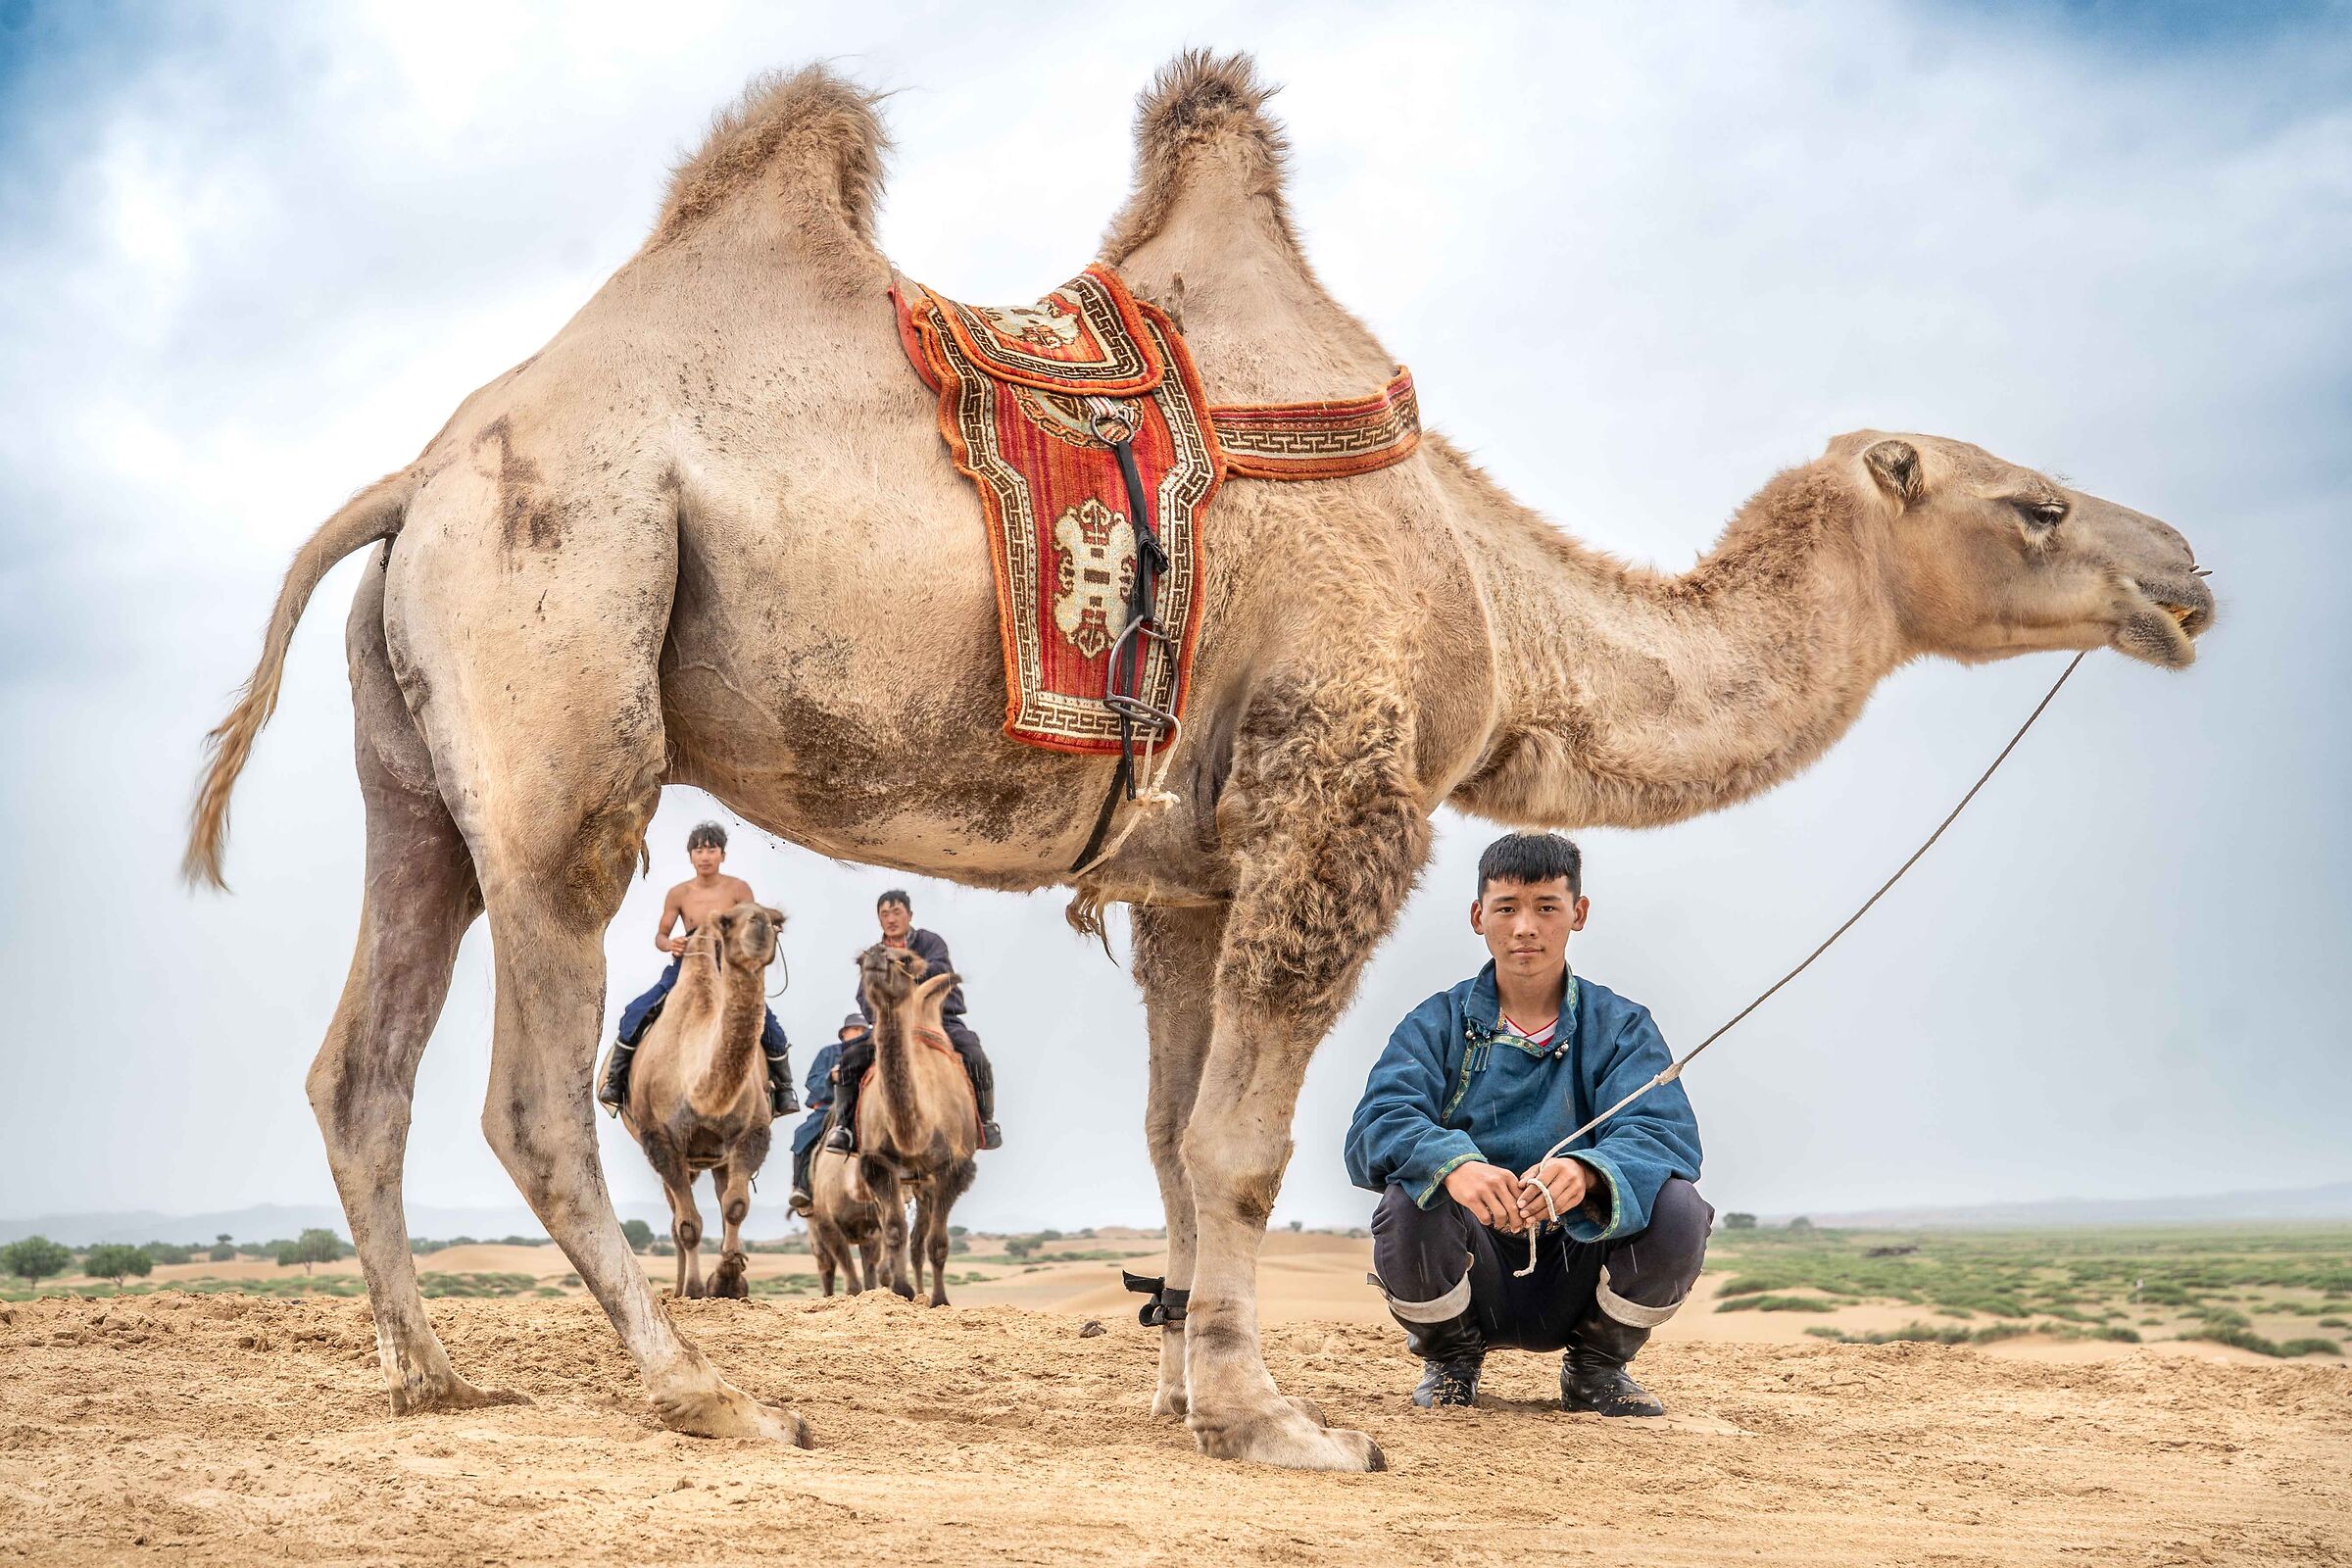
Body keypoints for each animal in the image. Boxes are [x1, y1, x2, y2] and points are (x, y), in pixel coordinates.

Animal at [618, 902, 784, 1301]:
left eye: (778, 921)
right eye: (727, 920)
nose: (760, 923)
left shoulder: (752, 1133)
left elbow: (736, 1206)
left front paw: (728, 1281)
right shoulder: (660, 1140)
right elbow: (689, 1225)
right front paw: (695, 1289)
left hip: (715, 1159)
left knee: (721, 1199)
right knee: (675, 1217)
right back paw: (680, 1289)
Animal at [854, 946, 980, 1307]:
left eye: (907, 959)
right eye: (859, 961)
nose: (875, 954)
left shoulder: (954, 1167)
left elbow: (937, 1243)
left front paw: (939, 1300)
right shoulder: (877, 1162)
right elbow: (895, 1230)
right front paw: (900, 1289)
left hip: (926, 1182)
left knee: (920, 1240)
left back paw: (925, 1293)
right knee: (897, 1232)